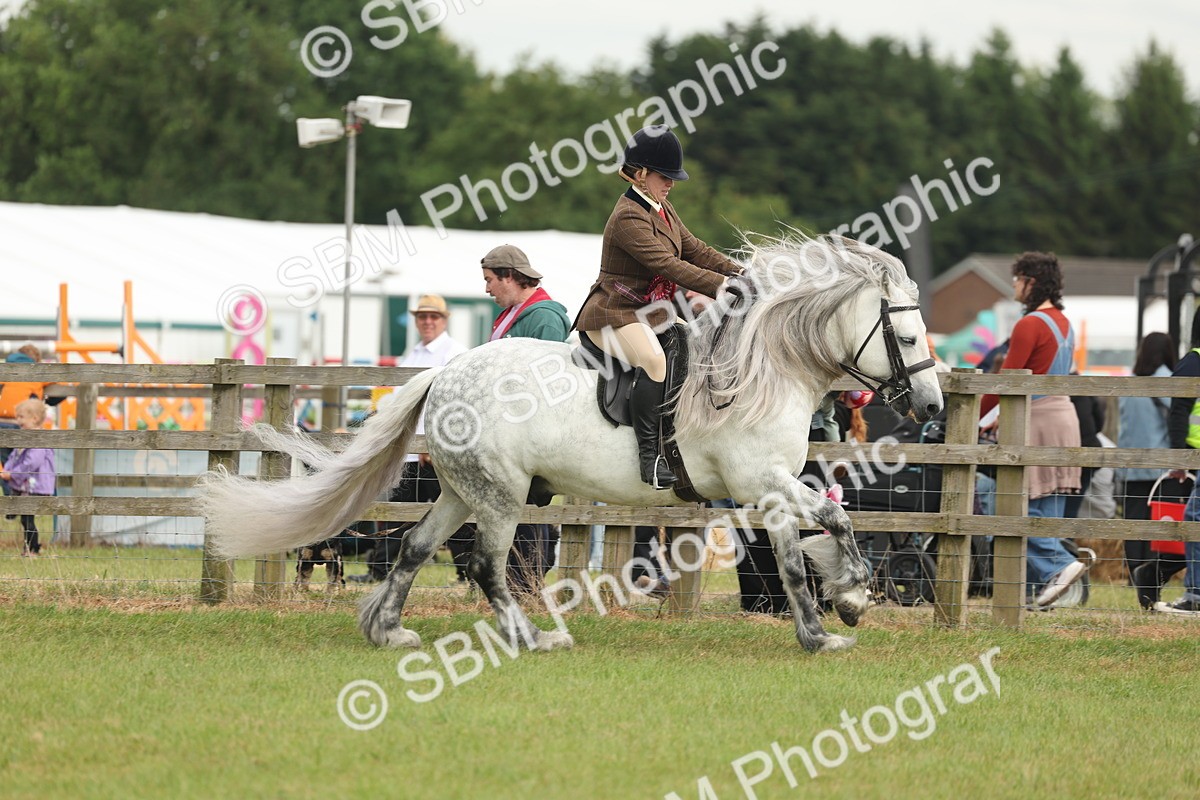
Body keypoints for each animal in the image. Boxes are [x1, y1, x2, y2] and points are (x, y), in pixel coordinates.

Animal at [199, 235, 943, 654]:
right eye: (907, 336)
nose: (933, 407)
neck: (763, 368)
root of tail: (446, 372)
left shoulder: (771, 488)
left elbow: (805, 545)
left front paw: (828, 618)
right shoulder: (761, 481)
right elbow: (829, 525)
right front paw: (842, 608)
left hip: (464, 490)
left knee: (412, 547)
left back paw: (388, 630)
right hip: (499, 496)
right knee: (488, 567)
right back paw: (535, 636)